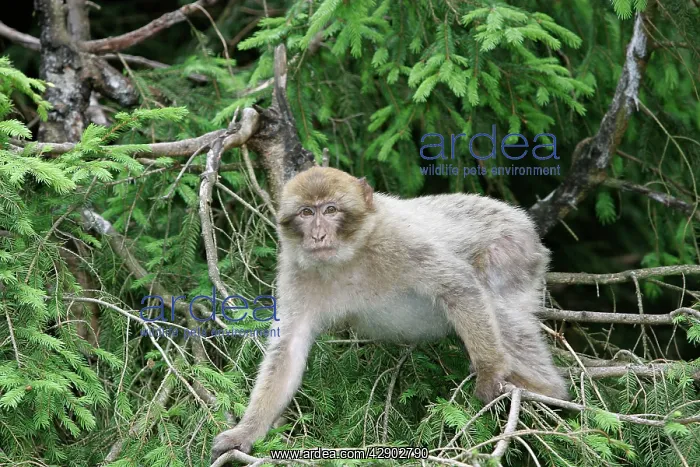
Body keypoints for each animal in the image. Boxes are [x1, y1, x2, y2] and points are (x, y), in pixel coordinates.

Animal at [211, 166, 569, 461]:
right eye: (306, 212)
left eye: (330, 210)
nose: (318, 234)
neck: (348, 257)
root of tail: (522, 221)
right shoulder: (296, 272)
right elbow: (288, 348)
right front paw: (246, 431)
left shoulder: (400, 241)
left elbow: (459, 285)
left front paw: (490, 372)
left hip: (513, 247)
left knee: (496, 300)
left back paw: (546, 390)